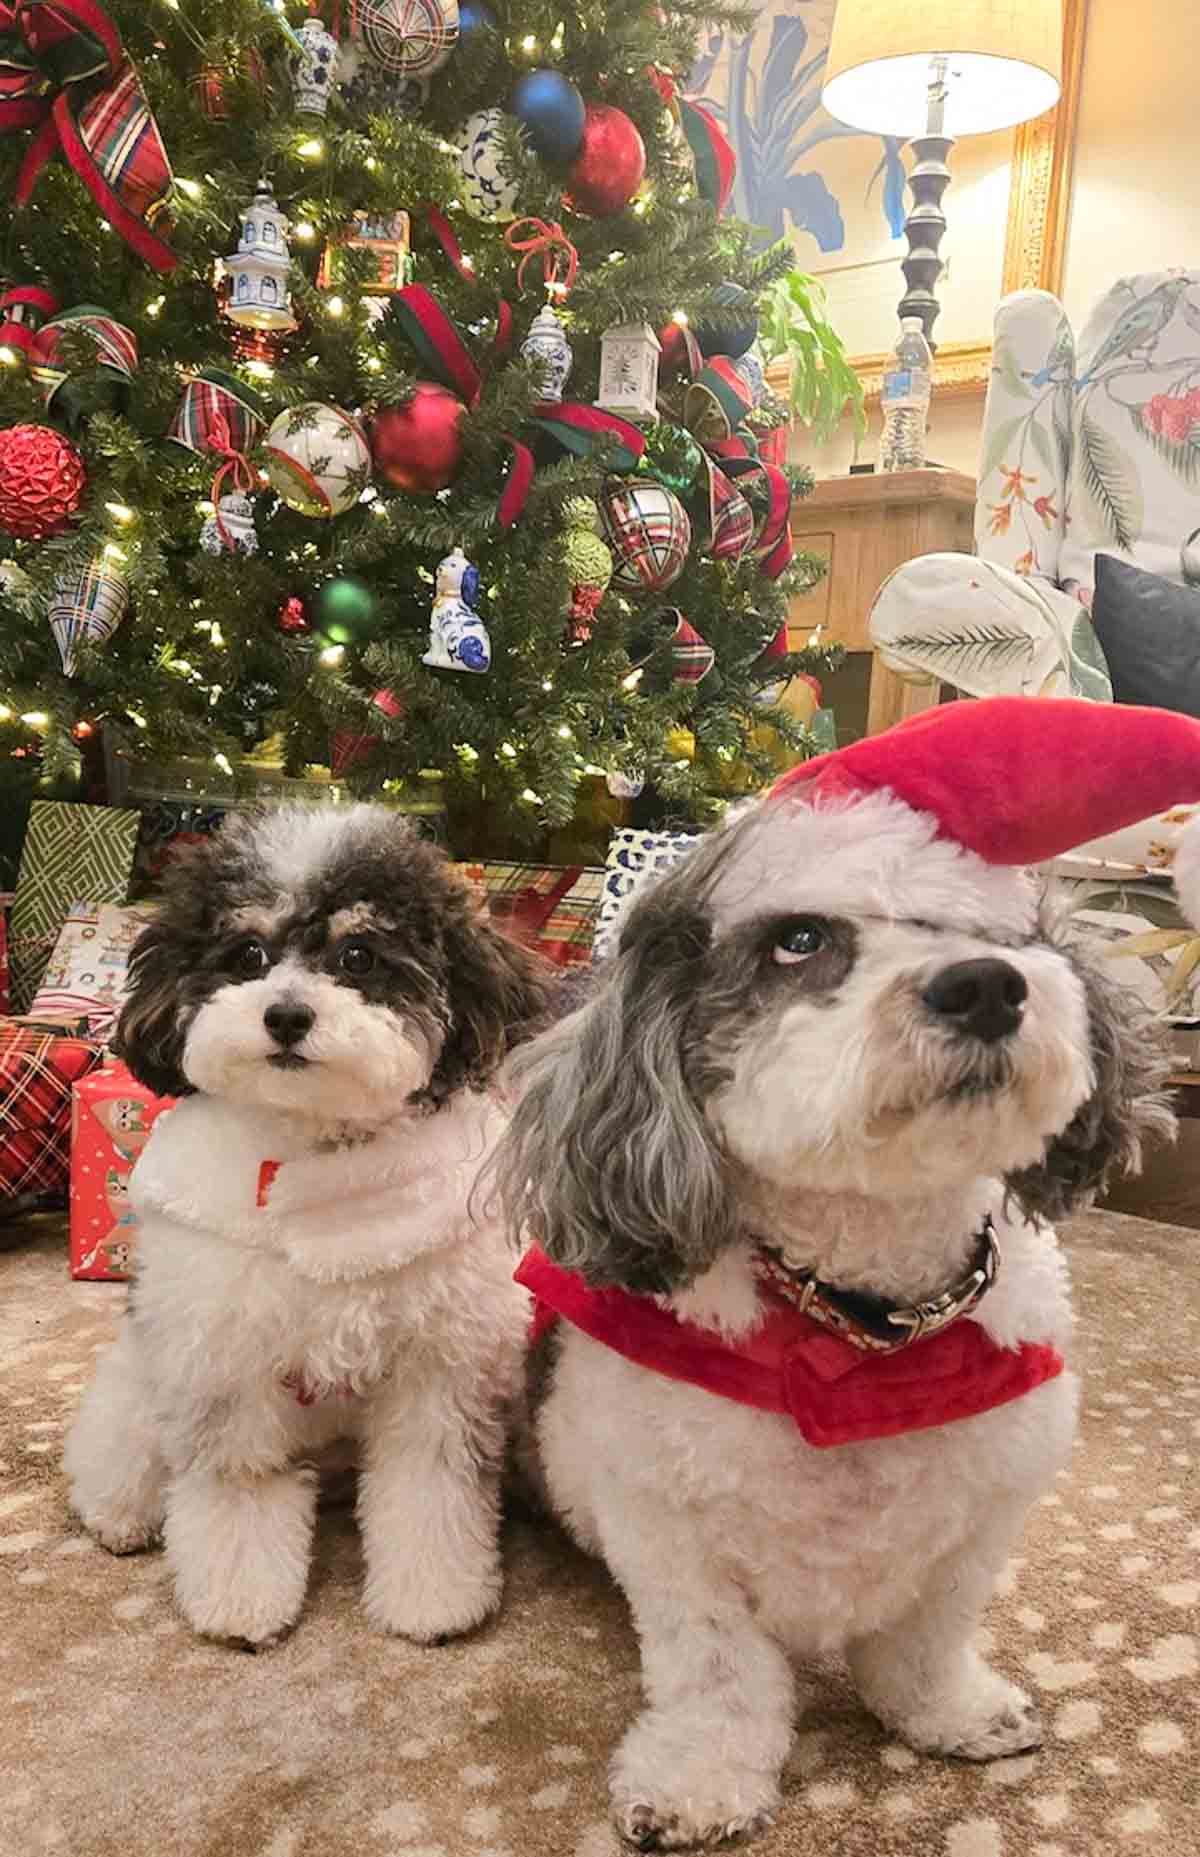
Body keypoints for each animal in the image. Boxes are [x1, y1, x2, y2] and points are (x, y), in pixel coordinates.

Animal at [68, 805, 553, 1649]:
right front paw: (240, 1599)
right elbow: (239, 1487)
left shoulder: (440, 1366)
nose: (287, 1014)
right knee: (120, 1444)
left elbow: (428, 1487)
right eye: (247, 953)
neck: (313, 1160)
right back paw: (118, 1514)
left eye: (359, 954)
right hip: (145, 1375)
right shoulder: (224, 1361)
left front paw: (432, 1597)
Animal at [494, 698, 1188, 1857]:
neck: (867, 1331)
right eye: (801, 938)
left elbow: (927, 1637)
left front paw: (950, 1711)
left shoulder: (980, 1519)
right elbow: (719, 1674)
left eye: (998, 934)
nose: (985, 985)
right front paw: (700, 1777)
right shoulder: (670, 1537)